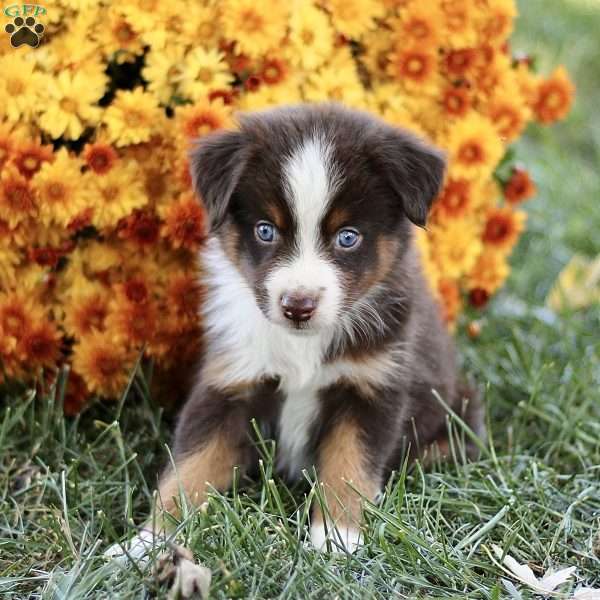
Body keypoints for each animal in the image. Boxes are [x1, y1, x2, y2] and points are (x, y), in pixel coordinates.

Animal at [110, 103, 482, 556]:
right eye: (265, 230)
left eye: (348, 237)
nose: (298, 306)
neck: (302, 346)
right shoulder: (230, 381)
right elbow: (189, 468)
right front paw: (148, 544)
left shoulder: (371, 388)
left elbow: (347, 468)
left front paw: (337, 539)